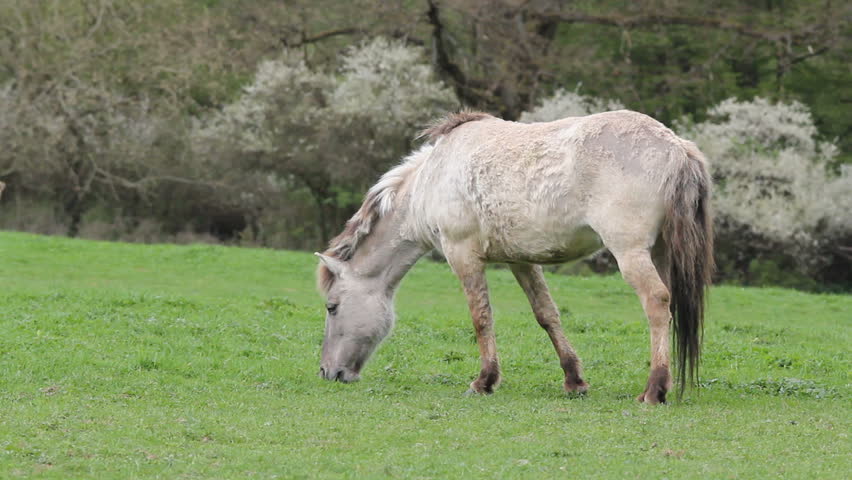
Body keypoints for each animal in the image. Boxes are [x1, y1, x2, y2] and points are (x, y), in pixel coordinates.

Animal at [315, 110, 713, 404]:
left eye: (332, 306)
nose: (328, 372)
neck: (431, 181)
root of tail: (677, 147)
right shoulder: (521, 261)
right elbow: (546, 315)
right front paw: (574, 380)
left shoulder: (463, 255)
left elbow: (481, 318)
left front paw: (485, 381)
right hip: (660, 252)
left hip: (630, 253)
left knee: (657, 303)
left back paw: (654, 388)